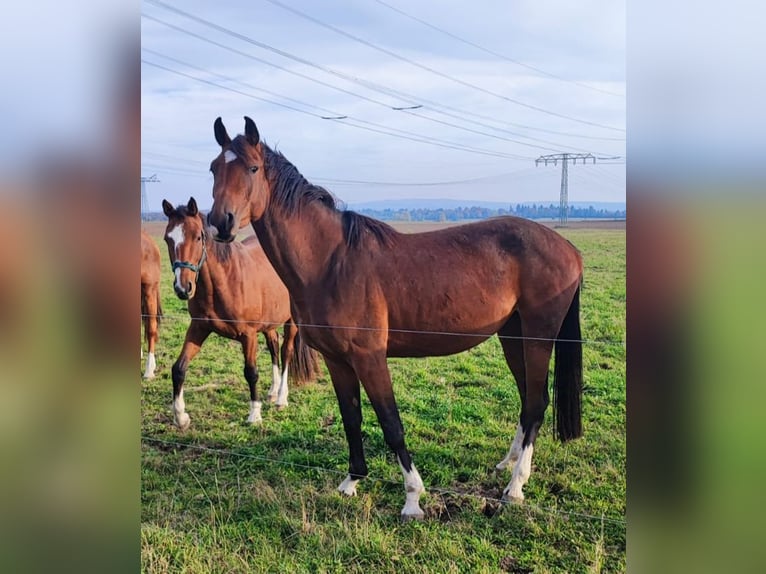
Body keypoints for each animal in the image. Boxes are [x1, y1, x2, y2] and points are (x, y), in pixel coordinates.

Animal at [162, 196, 318, 430]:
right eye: (167, 239)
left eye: (198, 237)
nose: (183, 288)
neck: (224, 281)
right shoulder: (198, 328)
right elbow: (179, 368)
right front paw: (181, 417)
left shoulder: (248, 335)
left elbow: (251, 372)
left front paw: (255, 414)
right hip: (269, 323)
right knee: (273, 346)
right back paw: (273, 392)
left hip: (291, 322)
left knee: (286, 351)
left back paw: (281, 398)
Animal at [207, 117, 584, 520]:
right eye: (214, 168)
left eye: (252, 168)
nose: (220, 223)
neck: (330, 261)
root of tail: (569, 249)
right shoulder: (337, 360)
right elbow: (351, 417)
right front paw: (352, 481)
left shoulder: (370, 358)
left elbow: (391, 423)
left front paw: (413, 498)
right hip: (513, 336)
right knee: (528, 398)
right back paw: (507, 464)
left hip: (538, 337)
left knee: (536, 403)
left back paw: (515, 486)